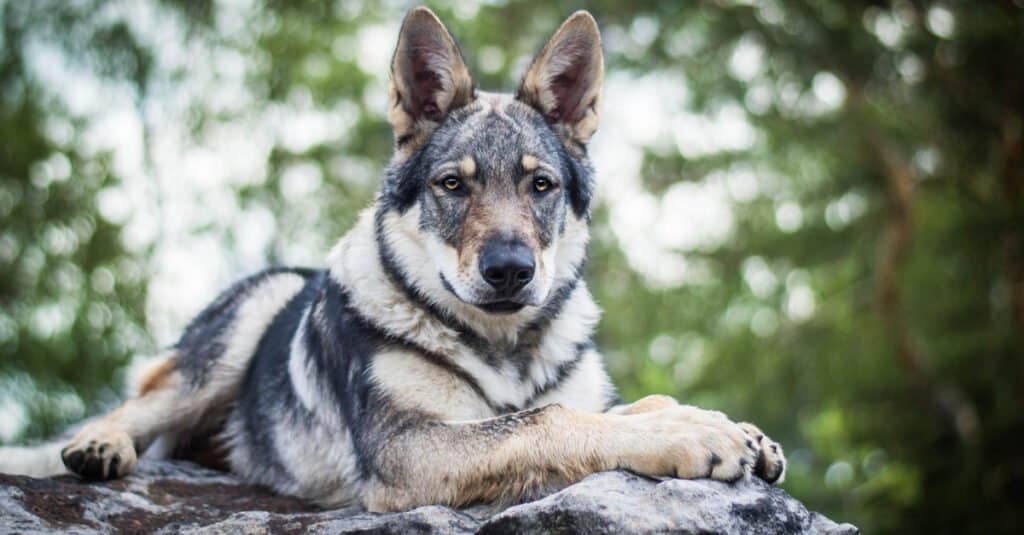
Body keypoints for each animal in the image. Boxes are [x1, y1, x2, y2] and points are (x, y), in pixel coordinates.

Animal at [2, 7, 782, 508]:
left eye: (541, 186)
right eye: (453, 185)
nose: (510, 270)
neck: (505, 349)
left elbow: (615, 406)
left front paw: (729, 426)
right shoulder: (409, 449)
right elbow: (550, 422)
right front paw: (690, 435)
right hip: (231, 340)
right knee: (134, 403)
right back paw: (99, 446)